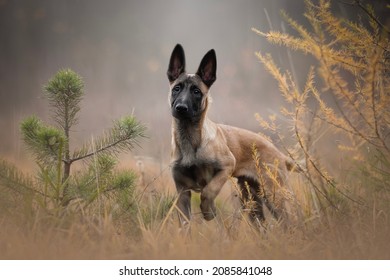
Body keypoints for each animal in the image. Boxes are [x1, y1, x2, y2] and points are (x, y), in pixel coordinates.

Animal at [166, 43, 298, 228]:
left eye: (196, 91)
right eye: (176, 88)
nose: (181, 108)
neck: (189, 140)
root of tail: (279, 154)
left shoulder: (227, 166)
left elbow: (208, 191)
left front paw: (209, 212)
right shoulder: (182, 192)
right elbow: (185, 224)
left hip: (275, 196)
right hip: (251, 201)